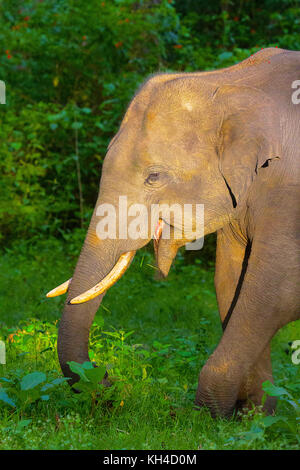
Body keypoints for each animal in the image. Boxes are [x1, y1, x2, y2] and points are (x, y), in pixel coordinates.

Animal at [47, 46, 300, 416]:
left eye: (154, 176)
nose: (109, 384)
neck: (228, 82)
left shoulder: (290, 194)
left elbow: (275, 292)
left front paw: (210, 416)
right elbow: (230, 282)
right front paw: (251, 415)